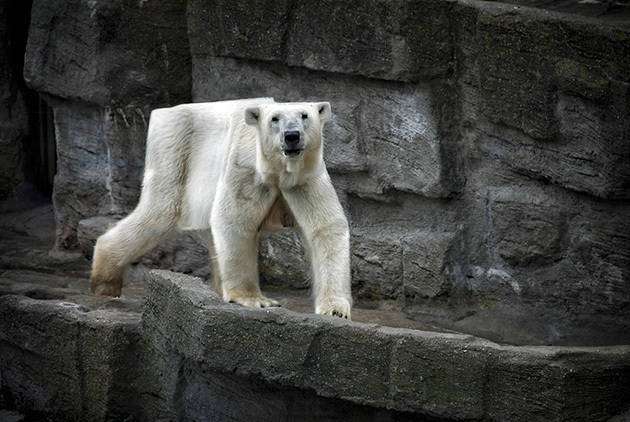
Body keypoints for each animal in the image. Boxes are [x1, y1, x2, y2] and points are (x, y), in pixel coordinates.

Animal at [90, 97, 354, 318]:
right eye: (274, 119)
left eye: (304, 115)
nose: (292, 136)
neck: (278, 171)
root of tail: (163, 112)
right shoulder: (245, 169)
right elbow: (234, 221)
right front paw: (256, 300)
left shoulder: (306, 179)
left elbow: (325, 228)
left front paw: (335, 309)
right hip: (174, 146)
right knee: (159, 212)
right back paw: (105, 282)